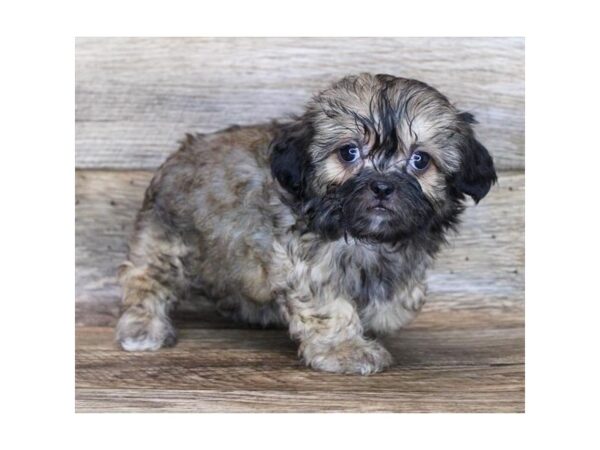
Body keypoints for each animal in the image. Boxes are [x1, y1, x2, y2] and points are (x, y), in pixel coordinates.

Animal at [115, 74, 494, 374]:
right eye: (348, 152)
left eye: (420, 160)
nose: (382, 186)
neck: (367, 238)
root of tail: (181, 151)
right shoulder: (307, 265)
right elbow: (331, 307)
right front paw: (347, 350)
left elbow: (406, 294)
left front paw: (384, 315)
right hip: (168, 239)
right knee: (147, 280)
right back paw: (142, 327)